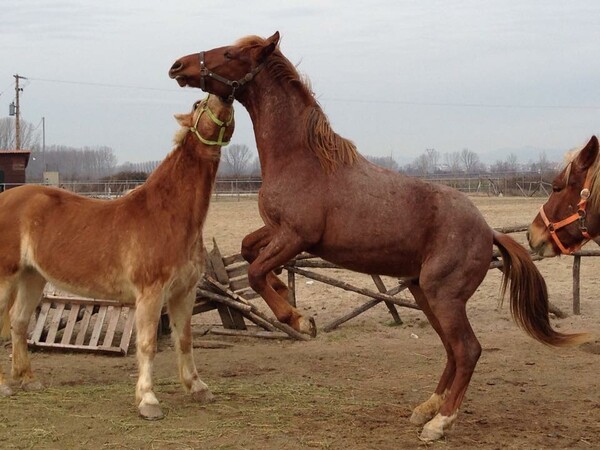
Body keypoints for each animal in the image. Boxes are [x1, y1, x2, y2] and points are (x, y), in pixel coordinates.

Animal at [0, 96, 234, 422]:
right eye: (199, 103)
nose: (227, 95)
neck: (168, 213)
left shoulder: (184, 293)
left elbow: (185, 340)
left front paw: (197, 387)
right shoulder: (151, 293)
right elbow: (147, 344)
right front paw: (148, 401)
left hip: (32, 277)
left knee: (19, 322)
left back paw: (28, 380)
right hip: (6, 276)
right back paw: (4, 387)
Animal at [169, 33, 584, 442]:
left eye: (230, 54)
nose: (178, 66)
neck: (301, 159)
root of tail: (487, 230)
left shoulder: (295, 237)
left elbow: (255, 271)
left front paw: (299, 319)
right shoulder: (277, 232)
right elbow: (247, 251)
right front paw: (287, 295)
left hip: (444, 296)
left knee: (468, 350)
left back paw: (439, 423)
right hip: (423, 292)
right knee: (451, 350)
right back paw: (425, 409)